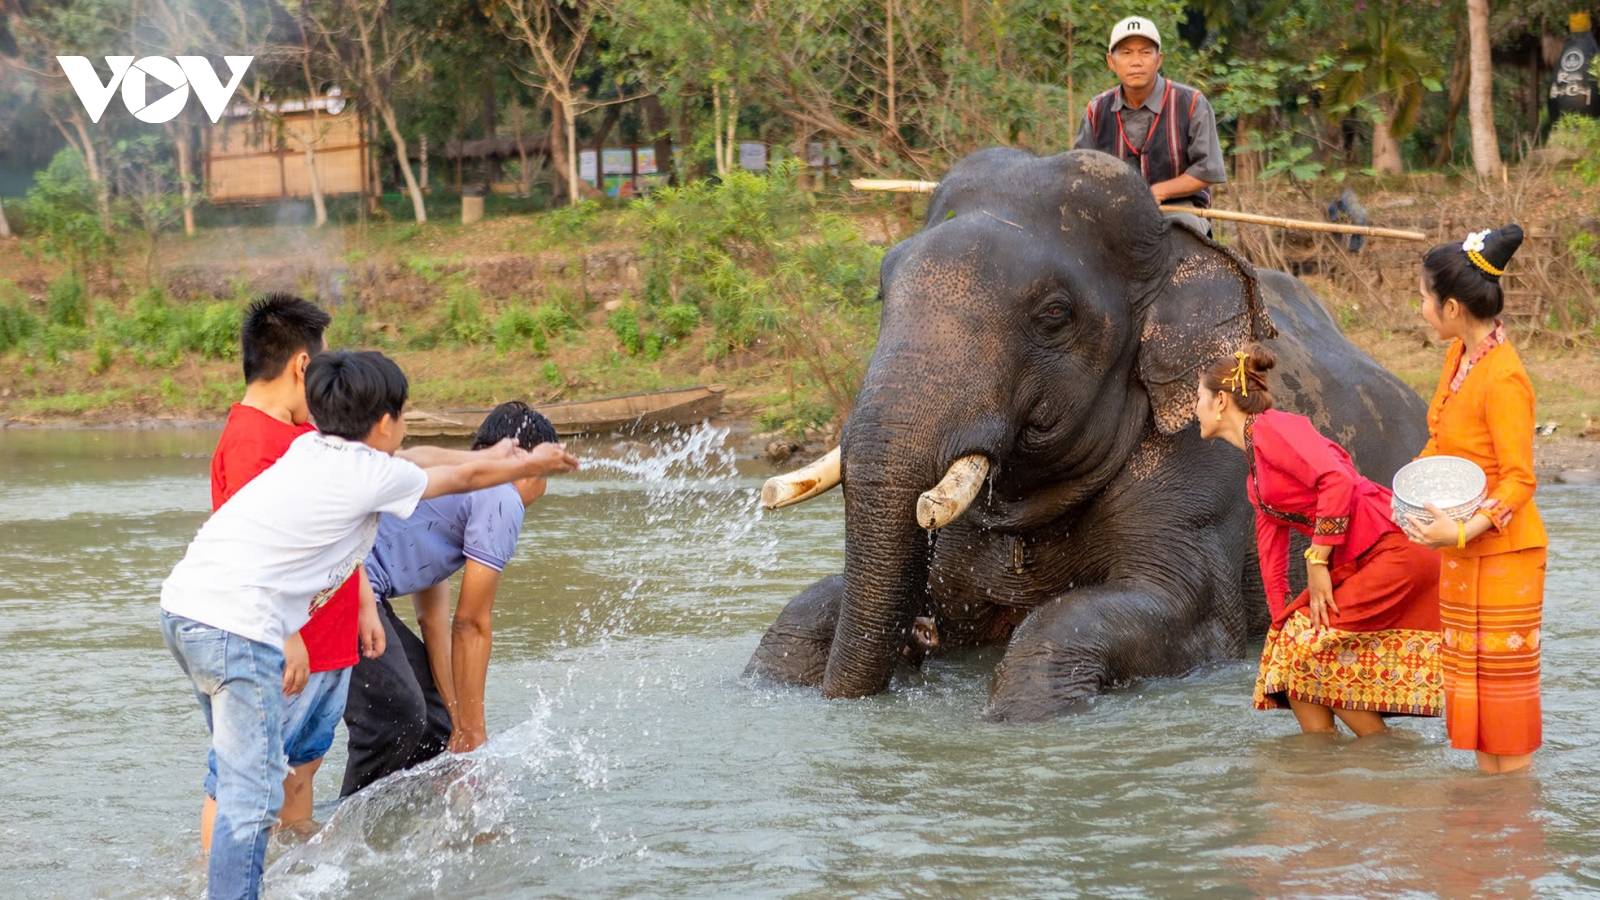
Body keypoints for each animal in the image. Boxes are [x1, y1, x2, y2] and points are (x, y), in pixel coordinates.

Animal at [742, 148, 1433, 720]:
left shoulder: (1208, 477)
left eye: (1053, 315)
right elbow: (818, 608)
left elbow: (1182, 613)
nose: (917, 641)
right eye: (882, 291)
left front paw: (1018, 713)